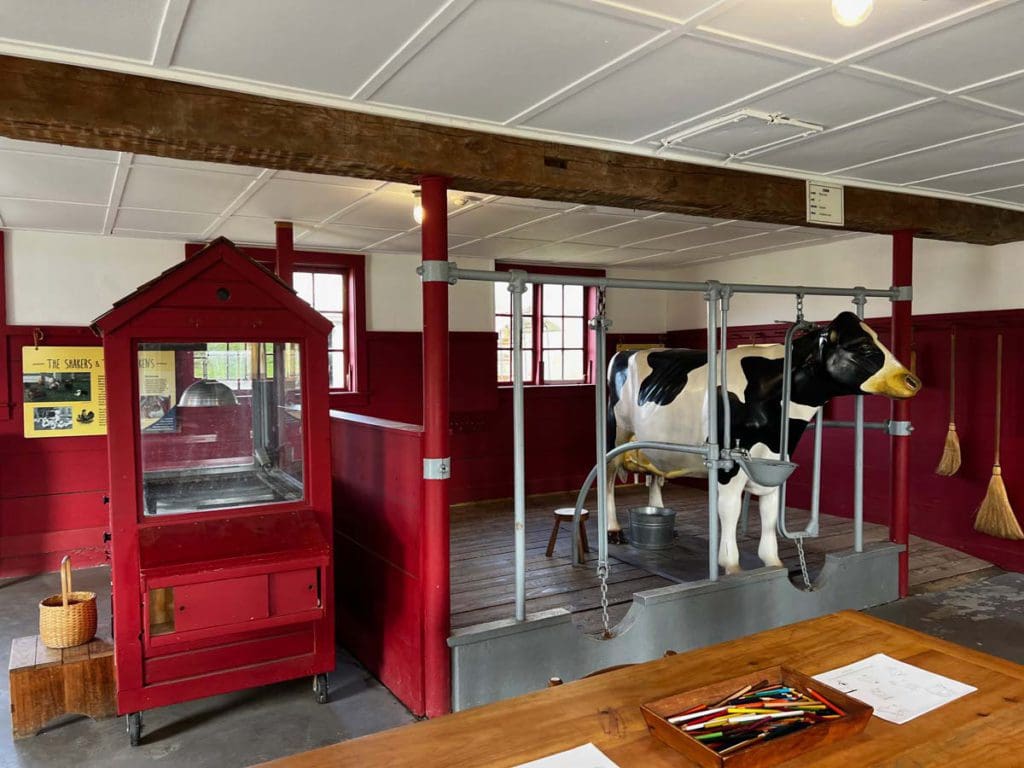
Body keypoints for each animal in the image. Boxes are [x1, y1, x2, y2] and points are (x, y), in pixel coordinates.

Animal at [606, 313, 921, 577]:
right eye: (862, 346)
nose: (912, 381)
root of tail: (626, 352)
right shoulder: (729, 462)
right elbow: (730, 510)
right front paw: (731, 565)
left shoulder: (775, 458)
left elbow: (770, 511)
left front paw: (773, 562)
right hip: (616, 432)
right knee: (608, 478)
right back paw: (613, 530)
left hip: (655, 445)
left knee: (655, 476)